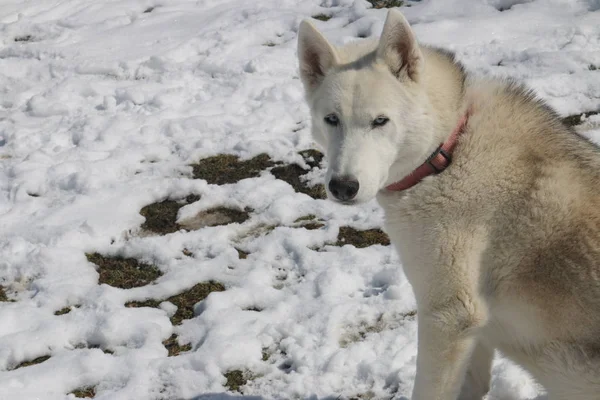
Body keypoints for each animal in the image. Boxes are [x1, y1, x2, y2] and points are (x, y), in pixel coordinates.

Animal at [300, 7, 600, 398]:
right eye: (331, 120)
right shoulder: (475, 328)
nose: (343, 186)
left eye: (380, 121)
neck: (445, 153)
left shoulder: (448, 316)